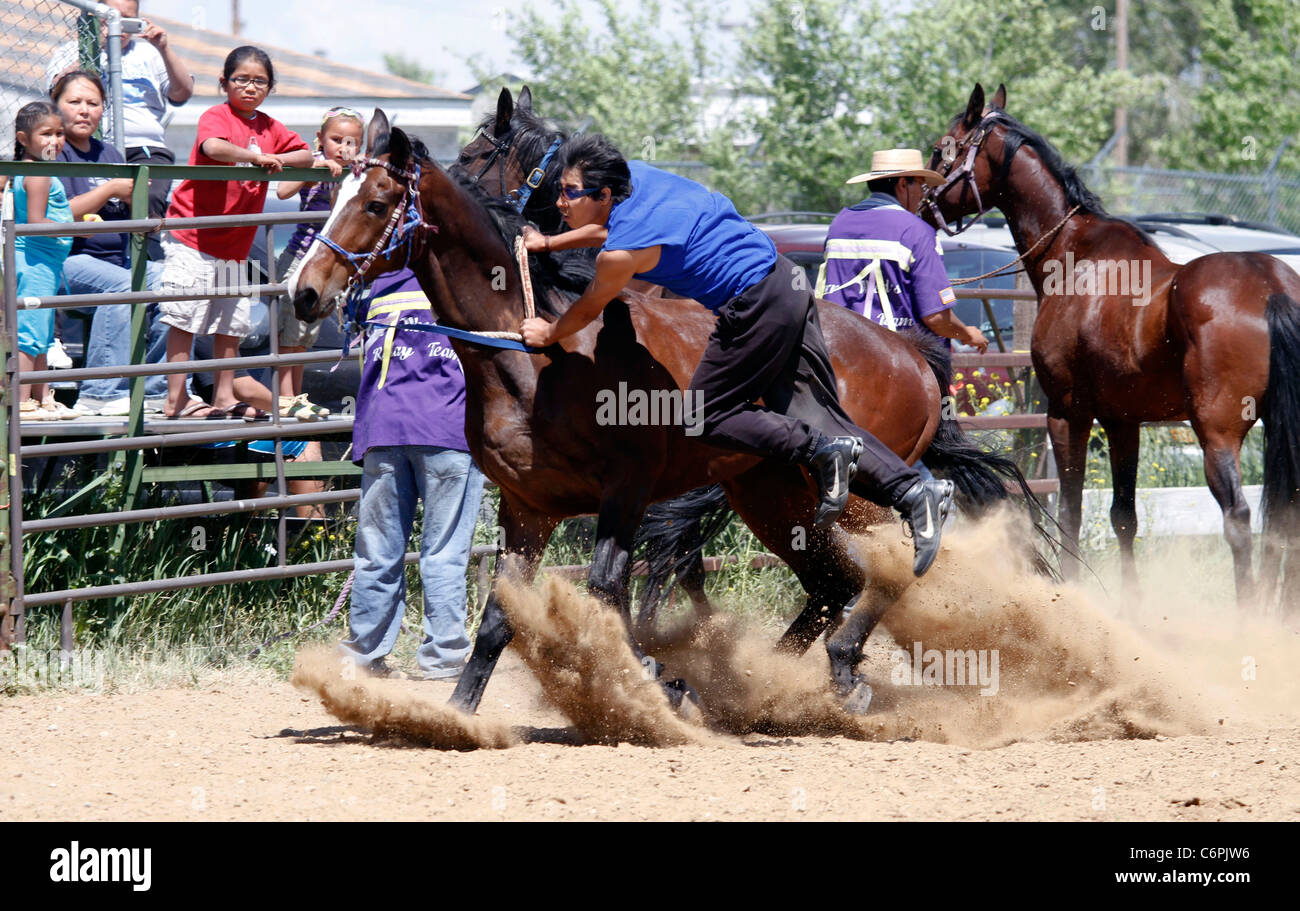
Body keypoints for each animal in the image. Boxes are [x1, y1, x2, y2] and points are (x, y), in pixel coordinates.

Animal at [289, 108, 1047, 716]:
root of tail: (913, 353)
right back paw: (759, 685)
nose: (304, 291)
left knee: (886, 556)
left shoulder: (626, 491)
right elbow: (502, 618)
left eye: (377, 199)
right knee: (834, 581)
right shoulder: (526, 506)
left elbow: (605, 593)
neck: (539, 354)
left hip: (839, 493)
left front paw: (657, 678)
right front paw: (458, 713)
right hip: (768, 494)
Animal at [921, 83, 1300, 609]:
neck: (1074, 253)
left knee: (1239, 521)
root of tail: (1271, 286)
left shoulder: (1067, 413)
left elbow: (1072, 510)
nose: (919, 203)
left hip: (1217, 432)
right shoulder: (1124, 421)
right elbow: (1124, 516)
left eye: (944, 148)